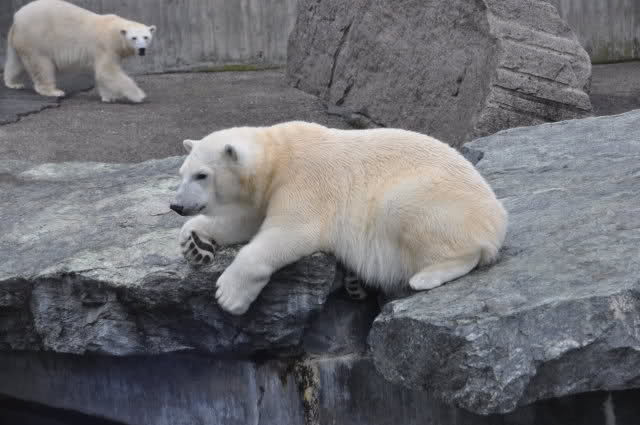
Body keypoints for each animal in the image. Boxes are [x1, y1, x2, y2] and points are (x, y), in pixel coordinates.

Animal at [3, 0, 156, 103]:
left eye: (146, 37)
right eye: (134, 38)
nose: (142, 49)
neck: (114, 32)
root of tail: (16, 17)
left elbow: (104, 74)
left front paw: (108, 96)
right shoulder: (106, 46)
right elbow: (107, 72)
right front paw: (139, 95)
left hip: (20, 39)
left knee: (15, 61)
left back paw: (13, 83)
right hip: (36, 38)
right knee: (41, 65)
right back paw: (54, 91)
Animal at [170, 121, 508, 315]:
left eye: (202, 175)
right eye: (182, 173)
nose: (176, 205)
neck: (278, 154)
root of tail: (497, 223)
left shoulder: (307, 181)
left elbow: (288, 233)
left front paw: (228, 294)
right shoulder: (266, 191)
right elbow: (246, 220)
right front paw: (194, 242)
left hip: (433, 197)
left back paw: (425, 276)